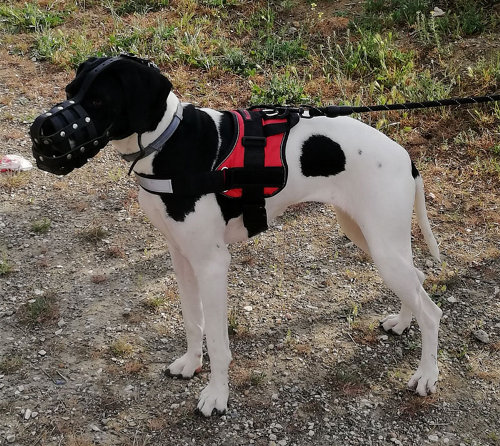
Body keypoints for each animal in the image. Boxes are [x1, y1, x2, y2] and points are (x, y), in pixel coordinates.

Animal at [30, 55, 442, 418]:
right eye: (70, 90)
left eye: (98, 100)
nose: (40, 131)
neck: (169, 143)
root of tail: (407, 158)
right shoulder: (181, 258)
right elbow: (192, 320)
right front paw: (191, 363)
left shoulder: (212, 264)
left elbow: (217, 339)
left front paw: (216, 396)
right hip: (367, 237)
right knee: (418, 280)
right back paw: (402, 322)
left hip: (382, 249)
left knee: (432, 311)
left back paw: (426, 375)